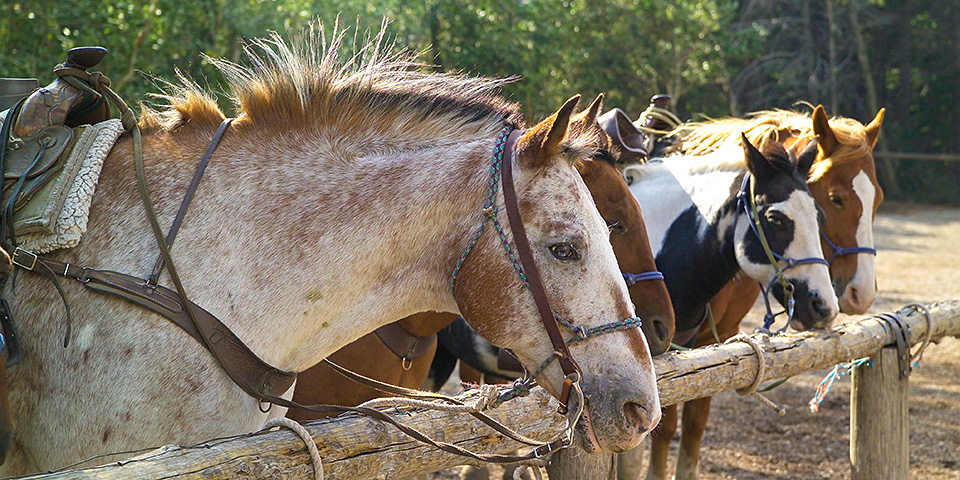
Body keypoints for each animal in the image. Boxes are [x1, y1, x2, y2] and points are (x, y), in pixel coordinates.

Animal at [640, 105, 884, 480]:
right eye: (836, 199)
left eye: (819, 215)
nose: (827, 305)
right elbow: (661, 428)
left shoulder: (710, 344)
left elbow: (693, 425)